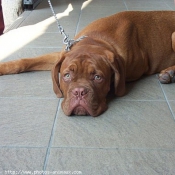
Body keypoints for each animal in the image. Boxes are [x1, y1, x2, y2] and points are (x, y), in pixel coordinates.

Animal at [0, 11, 175, 117]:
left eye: (98, 77)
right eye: (67, 75)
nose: (79, 92)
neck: (96, 40)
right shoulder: (61, 55)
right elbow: (26, 61)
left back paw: (169, 73)